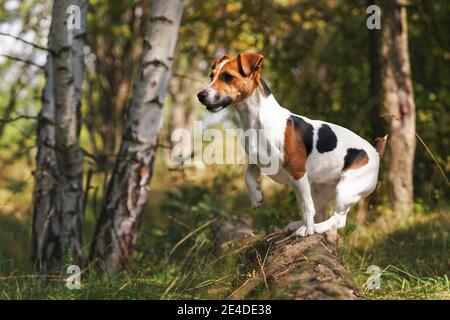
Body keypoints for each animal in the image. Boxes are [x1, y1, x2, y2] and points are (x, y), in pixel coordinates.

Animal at [197, 52, 386, 236]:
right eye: (211, 76)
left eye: (228, 76)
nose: (200, 95)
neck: (256, 121)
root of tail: (375, 150)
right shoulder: (257, 162)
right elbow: (248, 177)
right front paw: (256, 196)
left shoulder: (298, 172)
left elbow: (307, 207)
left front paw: (308, 230)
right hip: (320, 188)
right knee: (319, 212)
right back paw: (298, 225)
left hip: (345, 189)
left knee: (338, 220)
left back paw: (315, 228)